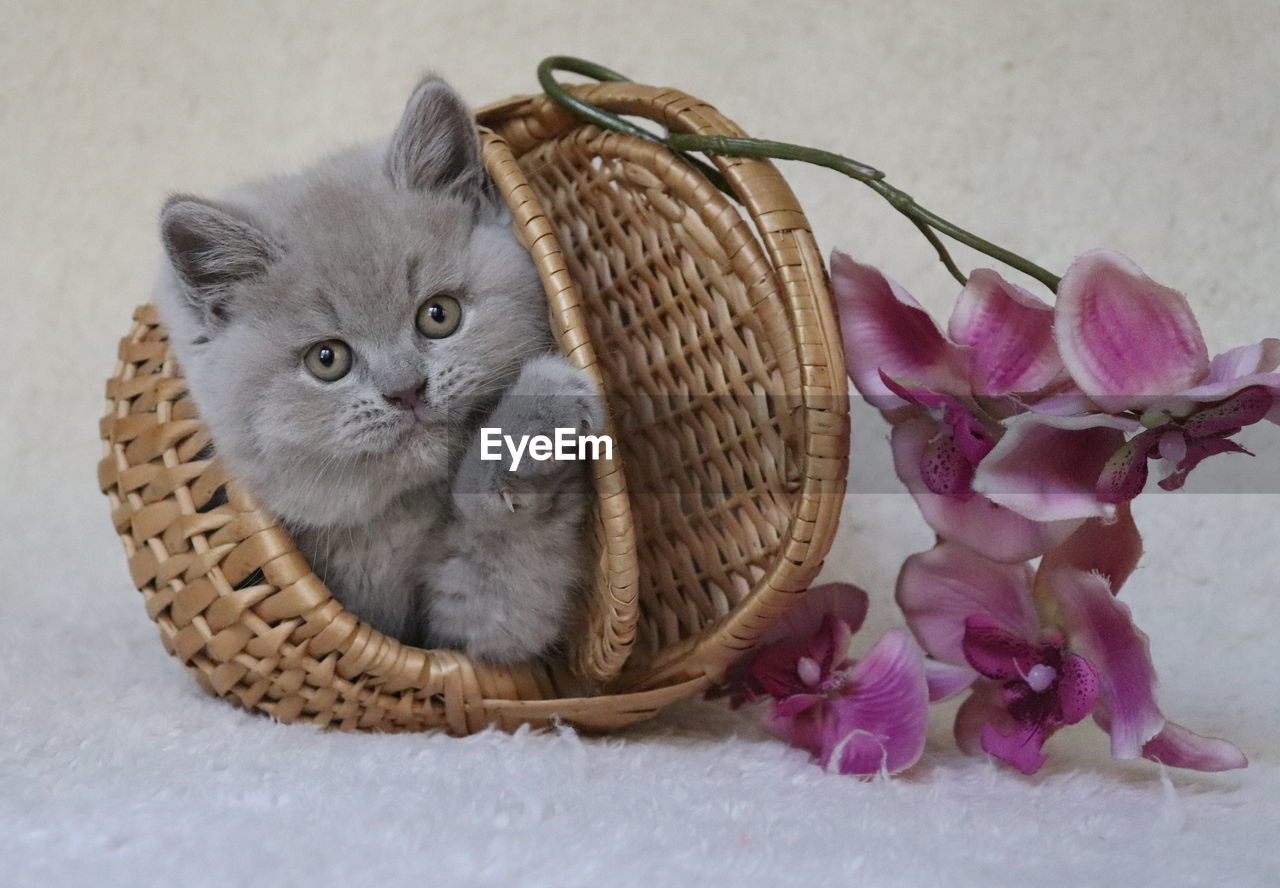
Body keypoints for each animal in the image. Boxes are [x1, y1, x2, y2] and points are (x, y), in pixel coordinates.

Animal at [152, 78, 601, 660]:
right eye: (327, 359)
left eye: (439, 314)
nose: (406, 390)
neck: (398, 519)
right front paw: (547, 403)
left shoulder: (475, 627)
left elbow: (506, 578)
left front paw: (538, 422)